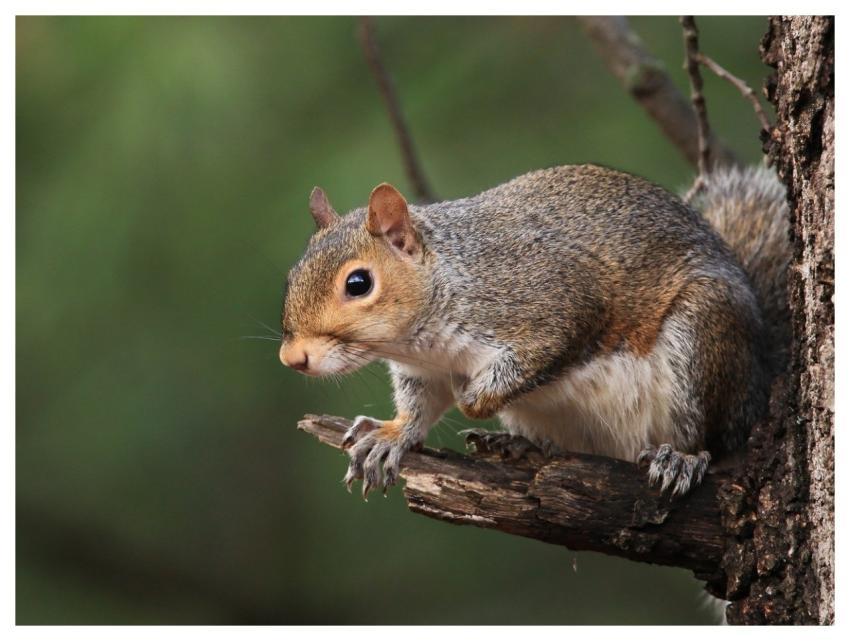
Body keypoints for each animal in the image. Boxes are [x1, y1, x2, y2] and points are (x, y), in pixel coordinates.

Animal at [280, 164, 790, 498]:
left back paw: (682, 457)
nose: (292, 359)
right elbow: (419, 406)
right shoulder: (422, 370)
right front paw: (390, 435)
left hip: (702, 341)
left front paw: (473, 397)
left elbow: (534, 356)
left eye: (358, 283)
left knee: (710, 438)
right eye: (291, 276)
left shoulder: (553, 306)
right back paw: (517, 444)